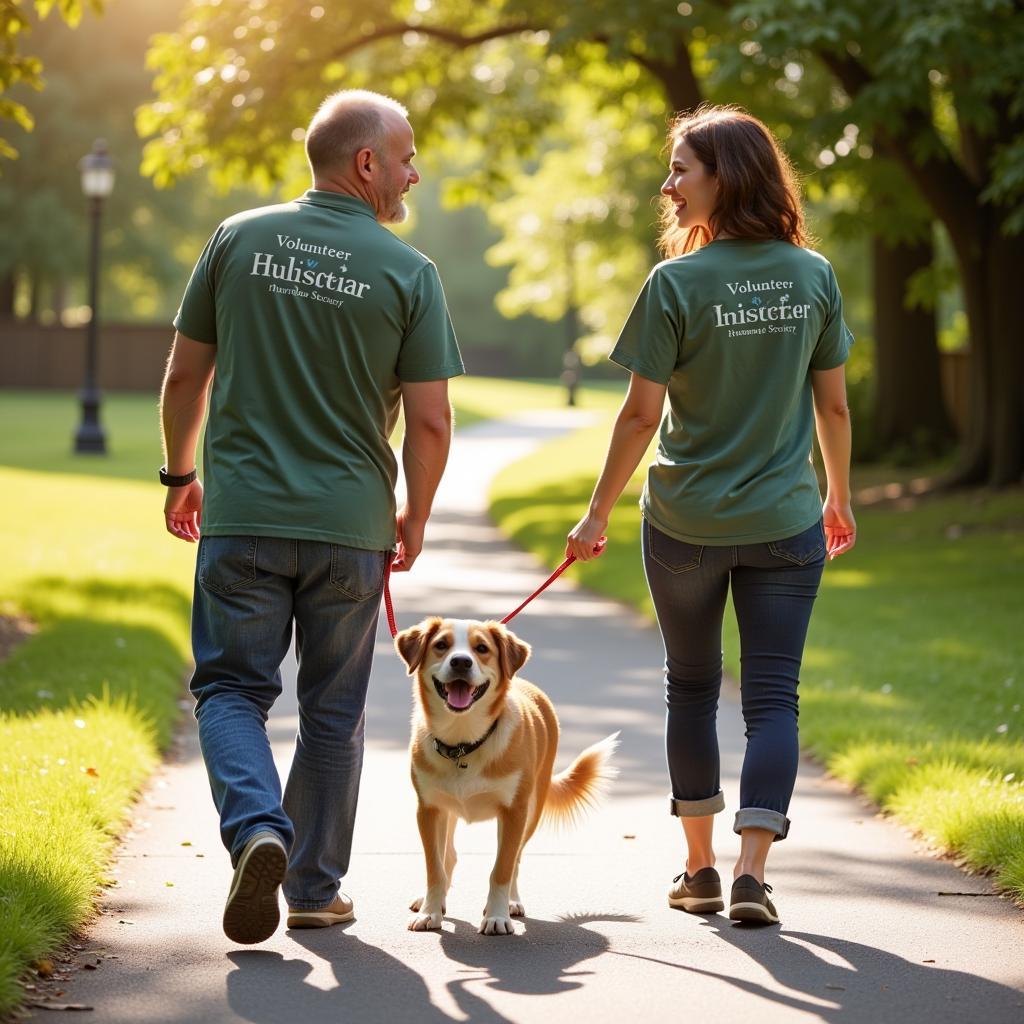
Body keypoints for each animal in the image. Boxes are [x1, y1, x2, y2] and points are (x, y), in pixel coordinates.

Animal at [393, 614, 614, 937]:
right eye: (441, 645)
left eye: (482, 648)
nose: (461, 662)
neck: (464, 742)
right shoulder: (429, 810)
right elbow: (435, 866)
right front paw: (430, 911)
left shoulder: (513, 812)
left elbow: (502, 868)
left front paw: (497, 916)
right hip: (449, 811)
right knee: (449, 855)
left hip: (531, 810)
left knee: (515, 859)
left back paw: (511, 902)